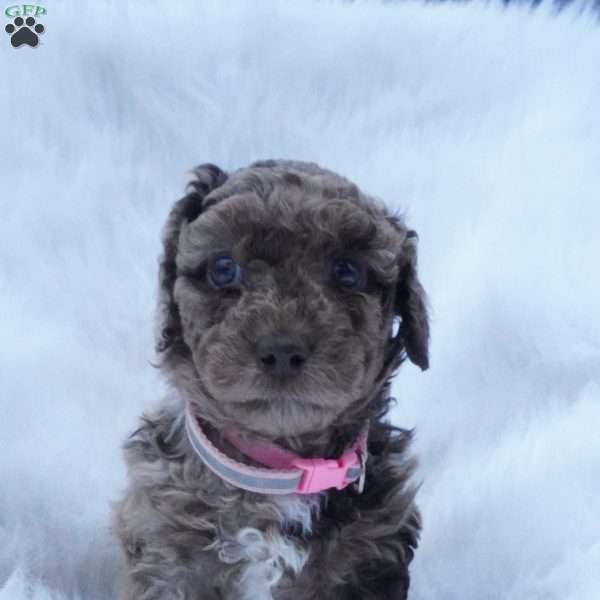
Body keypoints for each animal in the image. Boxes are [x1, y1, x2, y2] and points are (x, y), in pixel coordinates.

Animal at [112, 159, 428, 600]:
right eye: (223, 269)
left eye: (347, 272)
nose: (281, 350)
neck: (276, 477)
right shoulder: (166, 554)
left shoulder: (369, 559)